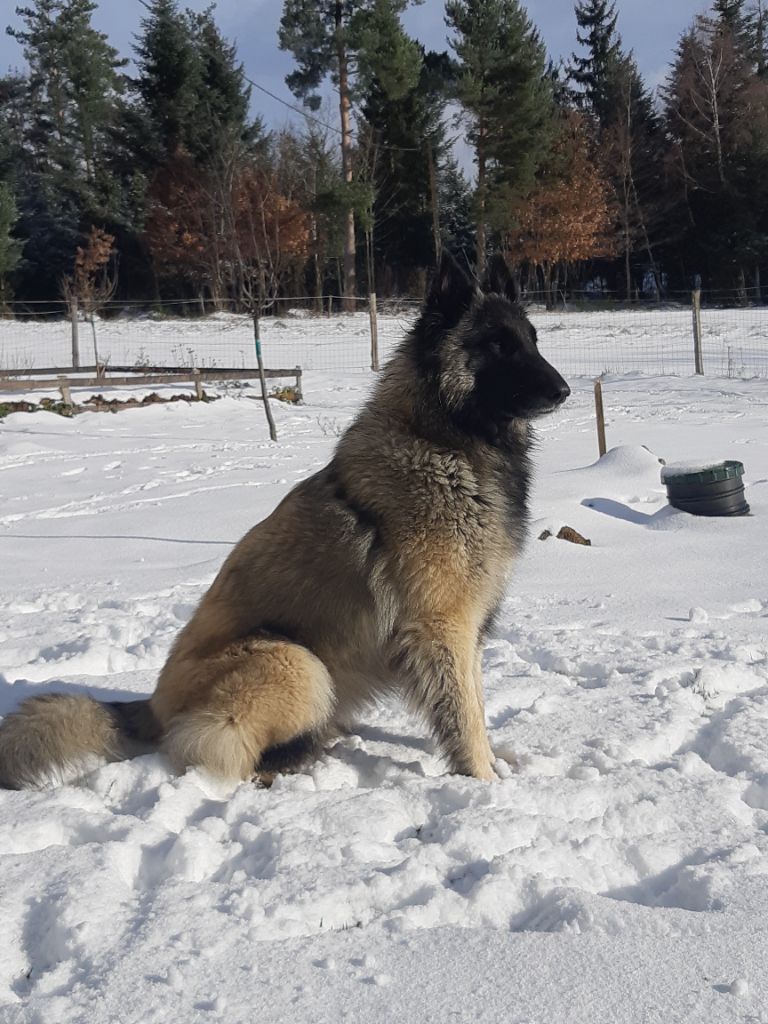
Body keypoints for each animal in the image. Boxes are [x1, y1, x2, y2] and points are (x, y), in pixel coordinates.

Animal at [0, 251, 565, 786]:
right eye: (498, 345)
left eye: (531, 340)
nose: (563, 391)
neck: (442, 442)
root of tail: (150, 709)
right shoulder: (442, 626)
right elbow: (464, 715)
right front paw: (484, 783)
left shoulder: (464, 629)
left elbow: (475, 706)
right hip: (294, 660)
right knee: (217, 749)